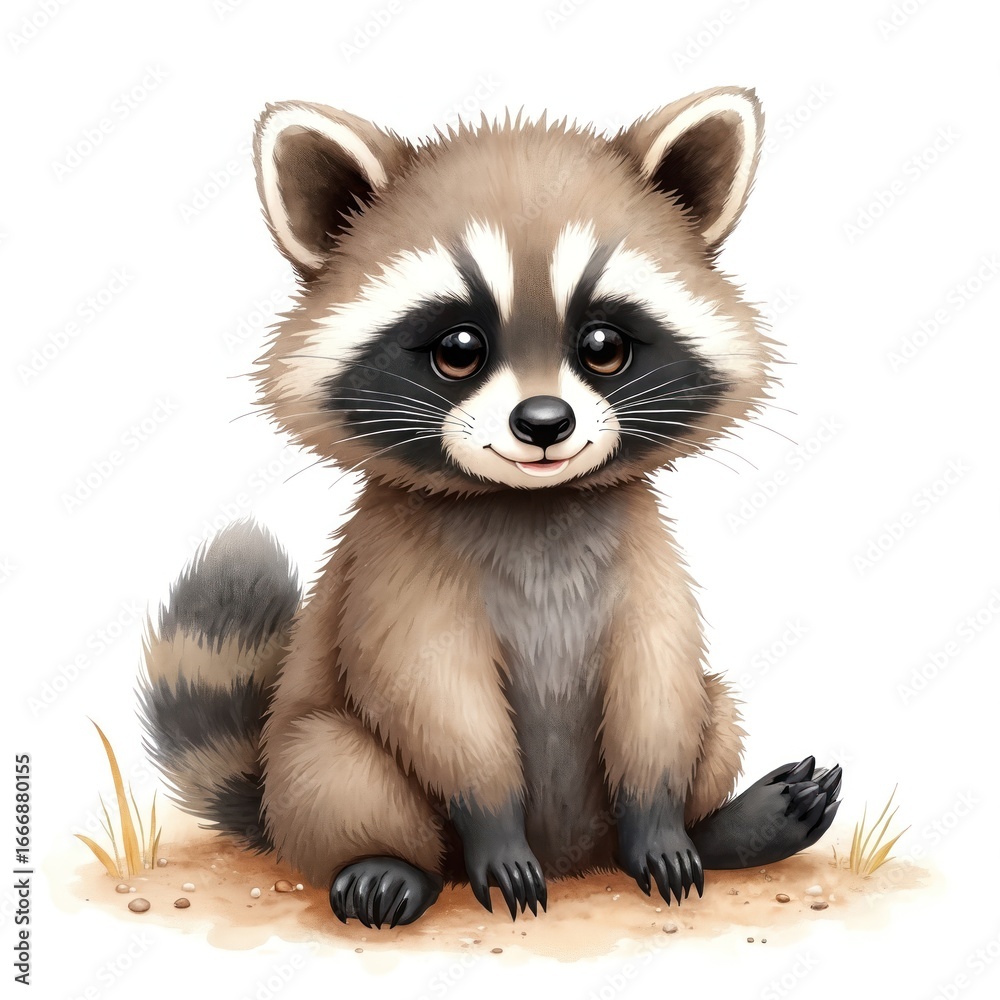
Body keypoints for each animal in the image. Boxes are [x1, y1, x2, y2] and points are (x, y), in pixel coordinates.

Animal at [139, 86, 842, 929]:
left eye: (603, 345)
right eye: (459, 348)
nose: (543, 424)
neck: (532, 503)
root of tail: (577, 859)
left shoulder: (646, 557)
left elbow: (658, 684)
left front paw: (662, 820)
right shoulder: (396, 570)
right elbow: (438, 701)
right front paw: (494, 826)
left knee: (714, 705)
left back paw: (724, 830)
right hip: (310, 763)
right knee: (335, 768)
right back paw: (386, 866)